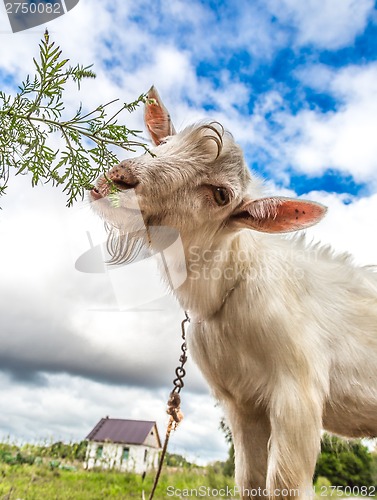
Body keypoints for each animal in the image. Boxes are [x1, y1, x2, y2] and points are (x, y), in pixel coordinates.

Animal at [91, 88, 376, 498]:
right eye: (163, 144)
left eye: (221, 194)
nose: (120, 178)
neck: (230, 289)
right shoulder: (242, 404)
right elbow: (250, 482)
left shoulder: (299, 392)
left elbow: (285, 485)